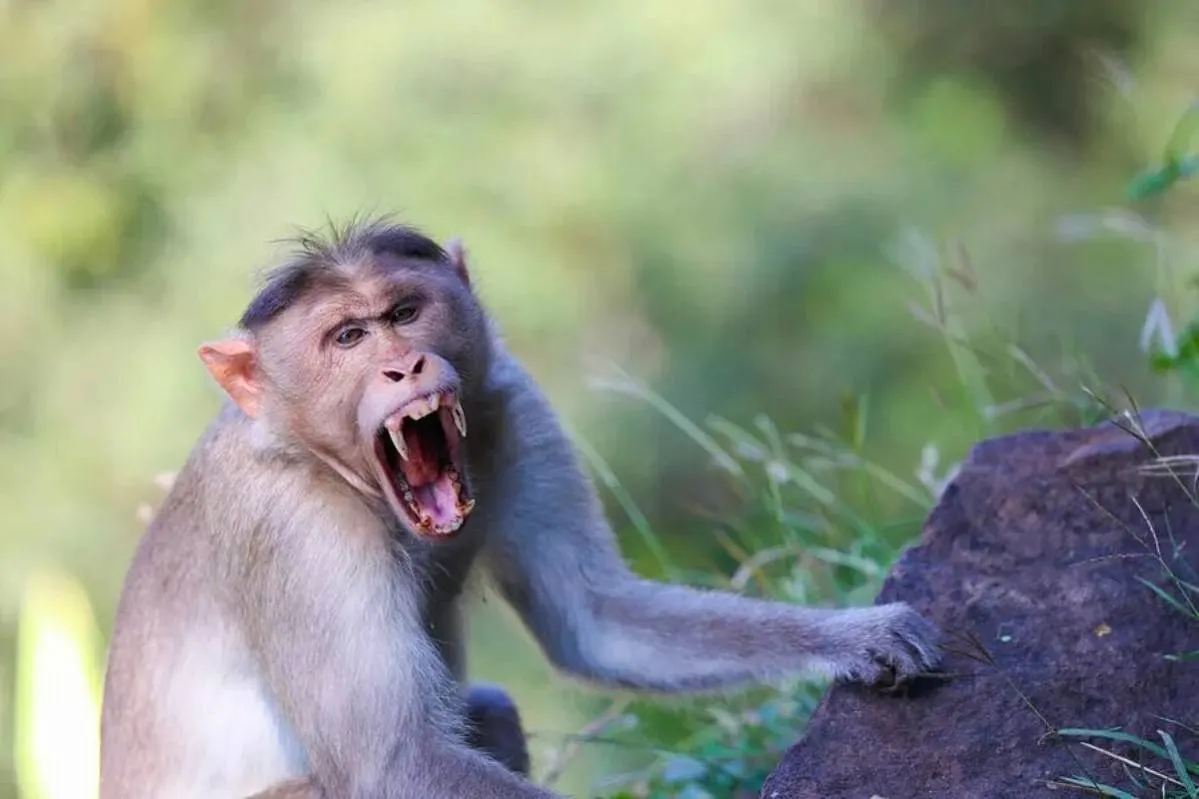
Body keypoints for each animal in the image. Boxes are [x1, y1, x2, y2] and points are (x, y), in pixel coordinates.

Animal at [98, 218, 942, 798]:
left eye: (403, 313)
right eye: (346, 337)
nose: (402, 366)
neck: (322, 461)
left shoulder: (512, 403)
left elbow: (592, 617)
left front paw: (855, 633)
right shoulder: (296, 527)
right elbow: (396, 762)